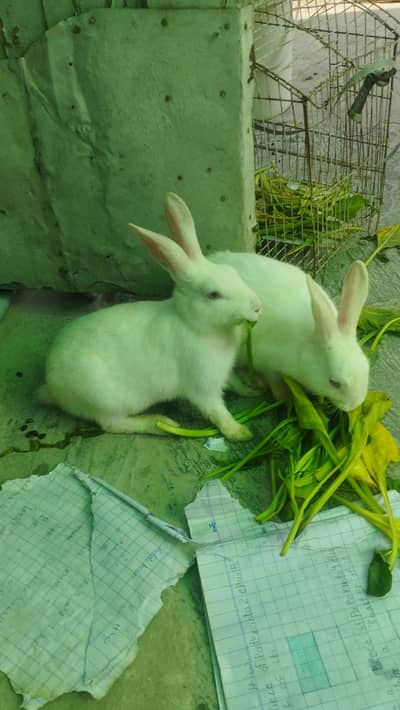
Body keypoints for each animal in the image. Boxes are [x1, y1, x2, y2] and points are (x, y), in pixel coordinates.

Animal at [38, 193, 262, 440]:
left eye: (233, 272)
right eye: (213, 295)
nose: (257, 306)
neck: (193, 324)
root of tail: (51, 386)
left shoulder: (223, 373)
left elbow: (235, 382)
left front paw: (252, 390)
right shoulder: (203, 387)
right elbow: (217, 411)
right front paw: (240, 432)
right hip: (104, 399)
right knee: (112, 424)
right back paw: (160, 424)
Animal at [209, 251, 369, 412]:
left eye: (367, 366)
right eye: (334, 383)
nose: (355, 404)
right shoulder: (267, 363)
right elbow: (275, 383)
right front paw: (285, 397)